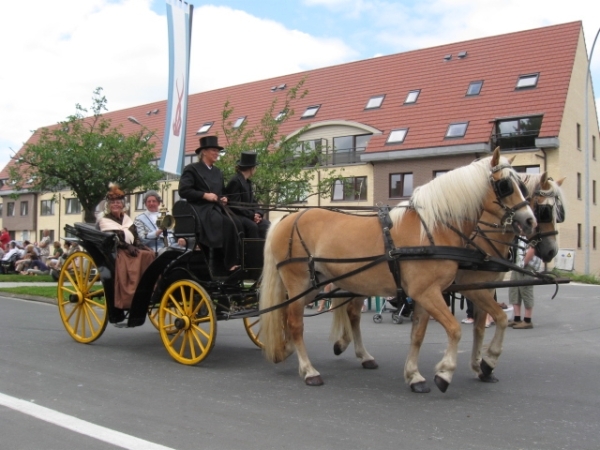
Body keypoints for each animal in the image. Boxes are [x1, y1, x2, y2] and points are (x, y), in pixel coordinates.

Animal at [258, 149, 536, 392]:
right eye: (505, 185)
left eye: (522, 185)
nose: (530, 220)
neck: (433, 229)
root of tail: (286, 219)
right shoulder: (430, 293)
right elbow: (456, 330)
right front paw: (446, 372)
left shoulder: (427, 295)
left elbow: (419, 334)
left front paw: (415, 375)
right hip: (299, 282)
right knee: (295, 323)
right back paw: (309, 370)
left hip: (316, 285)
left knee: (300, 316)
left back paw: (292, 350)